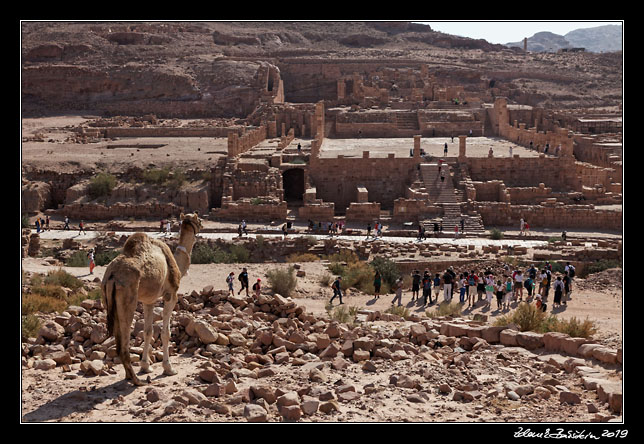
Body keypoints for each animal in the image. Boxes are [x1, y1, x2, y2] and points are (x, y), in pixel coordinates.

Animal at [101, 212, 201, 386]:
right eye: (198, 219)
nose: (202, 225)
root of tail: (112, 276)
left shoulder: (149, 300)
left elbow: (148, 331)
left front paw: (146, 366)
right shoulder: (171, 295)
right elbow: (166, 332)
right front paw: (168, 368)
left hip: (109, 300)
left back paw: (130, 375)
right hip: (127, 298)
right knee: (123, 344)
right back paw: (136, 380)